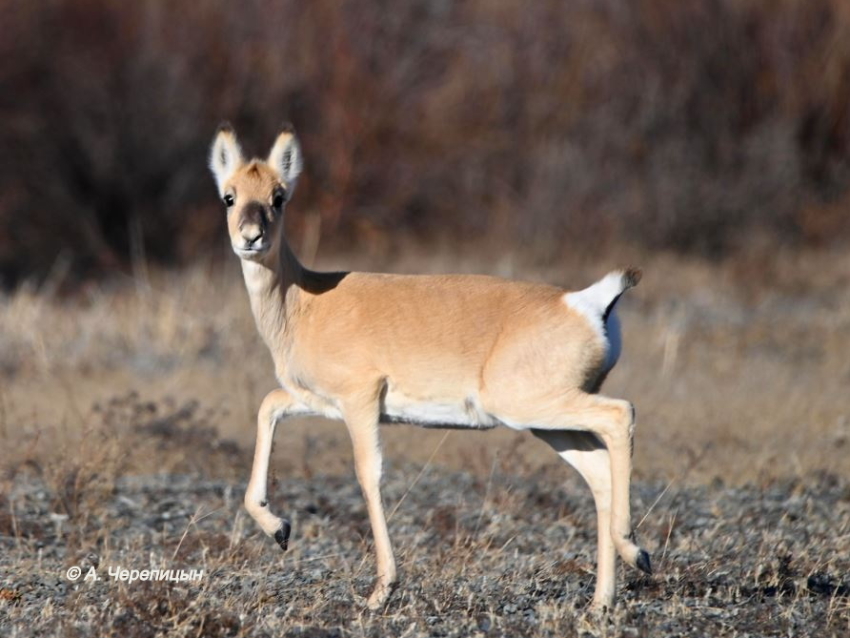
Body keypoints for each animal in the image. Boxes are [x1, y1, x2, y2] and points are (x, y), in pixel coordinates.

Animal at [209, 124, 644, 608]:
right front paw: (280, 529)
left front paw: (381, 590)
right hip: (549, 423)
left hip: (534, 407)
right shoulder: (316, 400)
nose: (250, 236)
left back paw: (635, 551)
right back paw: (602, 600)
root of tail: (583, 302)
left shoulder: (360, 402)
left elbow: (368, 474)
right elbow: (268, 405)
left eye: (279, 196)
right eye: (229, 195)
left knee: (621, 414)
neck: (306, 300)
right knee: (599, 473)